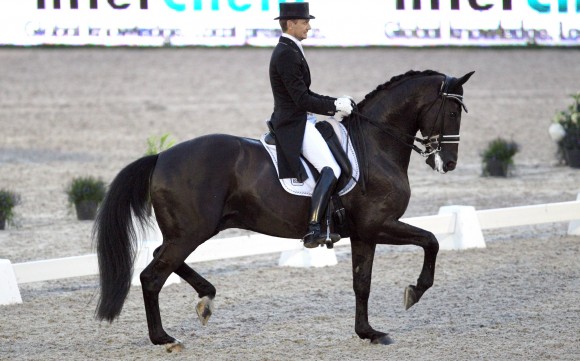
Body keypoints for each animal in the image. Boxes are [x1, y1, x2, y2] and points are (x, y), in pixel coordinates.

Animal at [93, 69, 474, 350]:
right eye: (453, 111)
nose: (448, 163)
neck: (375, 145)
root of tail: (161, 157)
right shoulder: (378, 224)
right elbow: (431, 240)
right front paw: (415, 291)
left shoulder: (364, 233)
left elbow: (361, 283)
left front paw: (368, 332)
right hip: (191, 231)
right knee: (152, 275)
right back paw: (164, 338)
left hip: (191, 230)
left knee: (161, 258)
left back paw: (206, 298)